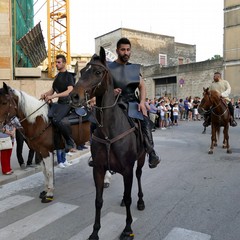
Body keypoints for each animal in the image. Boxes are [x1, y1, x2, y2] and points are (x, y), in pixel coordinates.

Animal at [71, 47, 146, 240]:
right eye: (82, 72)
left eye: (97, 72)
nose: (74, 96)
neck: (109, 131)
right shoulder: (98, 169)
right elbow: (98, 201)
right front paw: (95, 231)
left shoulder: (127, 168)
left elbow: (128, 197)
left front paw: (127, 228)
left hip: (141, 159)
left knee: (139, 176)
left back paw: (141, 200)